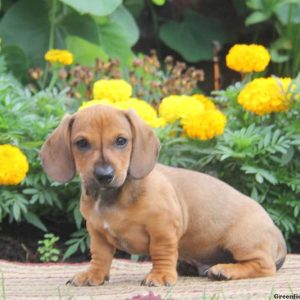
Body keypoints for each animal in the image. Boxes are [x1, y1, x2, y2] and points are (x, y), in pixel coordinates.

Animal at [39, 105, 286, 286]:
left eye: (121, 141)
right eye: (81, 143)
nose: (104, 175)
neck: (112, 198)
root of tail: (276, 232)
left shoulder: (163, 228)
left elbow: (161, 252)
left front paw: (159, 276)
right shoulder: (97, 233)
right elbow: (100, 256)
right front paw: (93, 275)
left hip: (242, 241)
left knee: (263, 266)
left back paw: (225, 270)